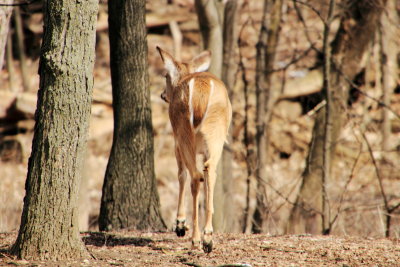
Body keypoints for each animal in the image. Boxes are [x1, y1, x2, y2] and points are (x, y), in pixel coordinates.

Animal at [156, 47, 231, 254]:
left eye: (166, 75)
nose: (163, 95)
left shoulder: (176, 143)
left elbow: (181, 175)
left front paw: (180, 224)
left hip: (183, 131)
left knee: (195, 176)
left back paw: (195, 238)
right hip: (216, 134)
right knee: (208, 170)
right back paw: (208, 238)